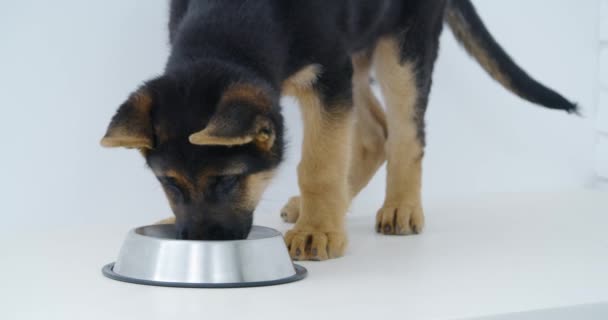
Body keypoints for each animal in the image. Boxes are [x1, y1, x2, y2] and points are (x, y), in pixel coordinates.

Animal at [100, 0, 576, 260]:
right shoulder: (333, 73)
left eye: (228, 181)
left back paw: (400, 207)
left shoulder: (327, 74)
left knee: (406, 132)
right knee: (374, 135)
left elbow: (320, 162)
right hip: (356, 53)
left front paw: (318, 231)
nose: (199, 241)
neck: (229, 29)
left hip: (400, 45)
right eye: (169, 183)